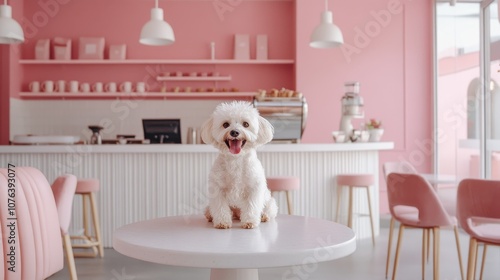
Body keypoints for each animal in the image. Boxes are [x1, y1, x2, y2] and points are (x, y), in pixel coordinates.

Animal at [200, 101, 278, 229]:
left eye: (246, 124)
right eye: (225, 124)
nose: (234, 132)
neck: (235, 159)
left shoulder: (253, 188)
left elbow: (251, 206)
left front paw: (249, 222)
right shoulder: (218, 189)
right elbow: (220, 207)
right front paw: (222, 222)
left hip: (269, 202)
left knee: (269, 210)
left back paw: (263, 216)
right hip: (209, 207)